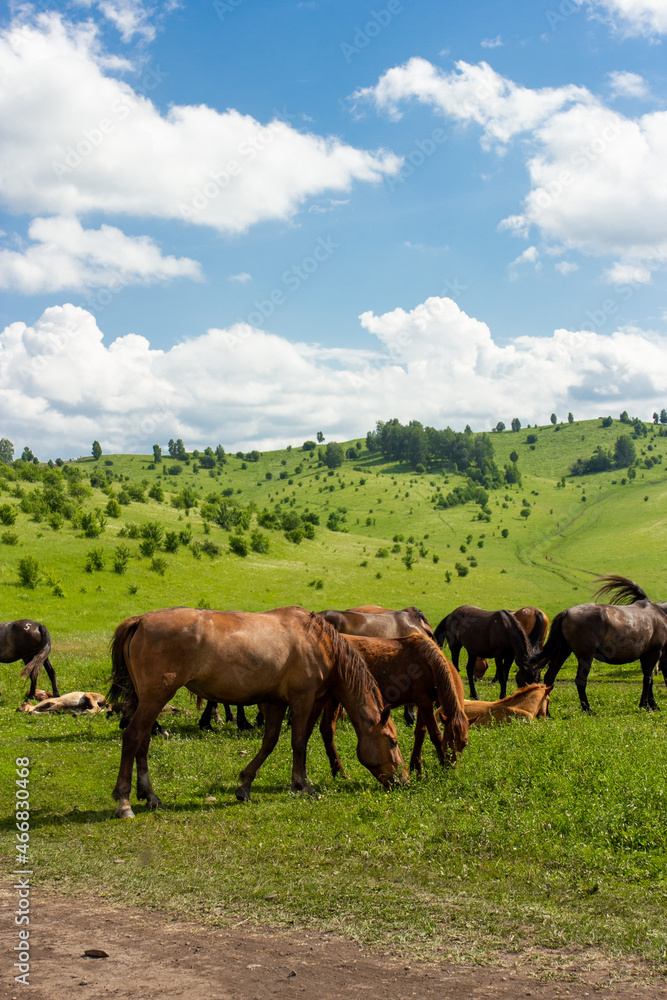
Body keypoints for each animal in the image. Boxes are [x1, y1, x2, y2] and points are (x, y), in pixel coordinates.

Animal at [109, 604, 408, 816]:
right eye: (393, 742)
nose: (404, 781)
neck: (319, 642)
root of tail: (140, 620)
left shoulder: (276, 703)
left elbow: (269, 742)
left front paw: (245, 784)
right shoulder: (302, 699)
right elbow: (299, 742)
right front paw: (303, 785)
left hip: (148, 701)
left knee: (143, 741)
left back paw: (150, 796)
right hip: (155, 699)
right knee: (133, 737)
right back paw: (124, 801)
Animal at [320, 632, 470, 780]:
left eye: (464, 744)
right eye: (449, 741)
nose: (452, 767)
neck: (428, 662)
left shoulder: (425, 703)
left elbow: (420, 733)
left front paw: (417, 768)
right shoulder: (424, 703)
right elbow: (435, 734)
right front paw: (442, 766)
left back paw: (337, 772)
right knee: (328, 730)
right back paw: (340, 772)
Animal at [532, 576, 667, 716]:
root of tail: (566, 613)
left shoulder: (646, 655)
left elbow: (649, 678)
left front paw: (651, 704)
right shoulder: (654, 653)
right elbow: (648, 678)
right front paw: (646, 705)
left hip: (563, 652)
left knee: (550, 677)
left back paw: (547, 713)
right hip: (586, 656)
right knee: (580, 680)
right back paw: (587, 709)